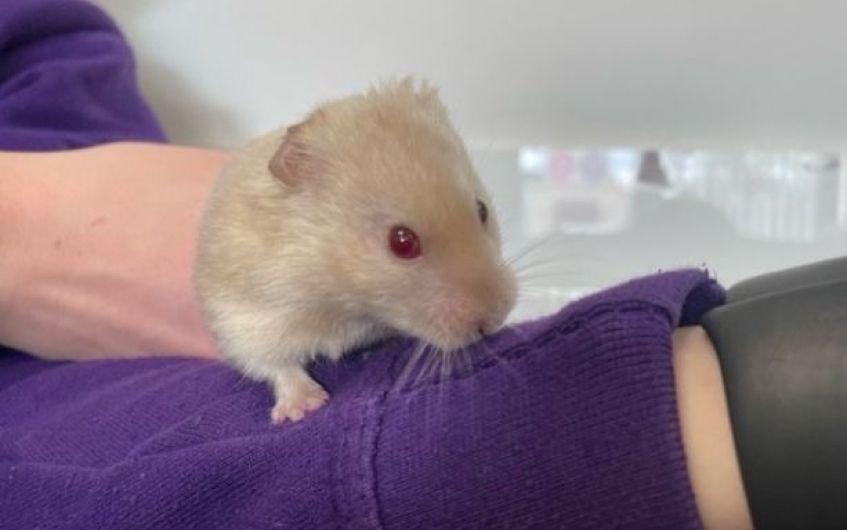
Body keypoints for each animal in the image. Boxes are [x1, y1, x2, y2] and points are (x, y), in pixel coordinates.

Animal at [194, 79, 517, 423]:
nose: (496, 319)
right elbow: (273, 363)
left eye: (482, 209)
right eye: (402, 242)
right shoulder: (244, 315)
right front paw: (306, 407)